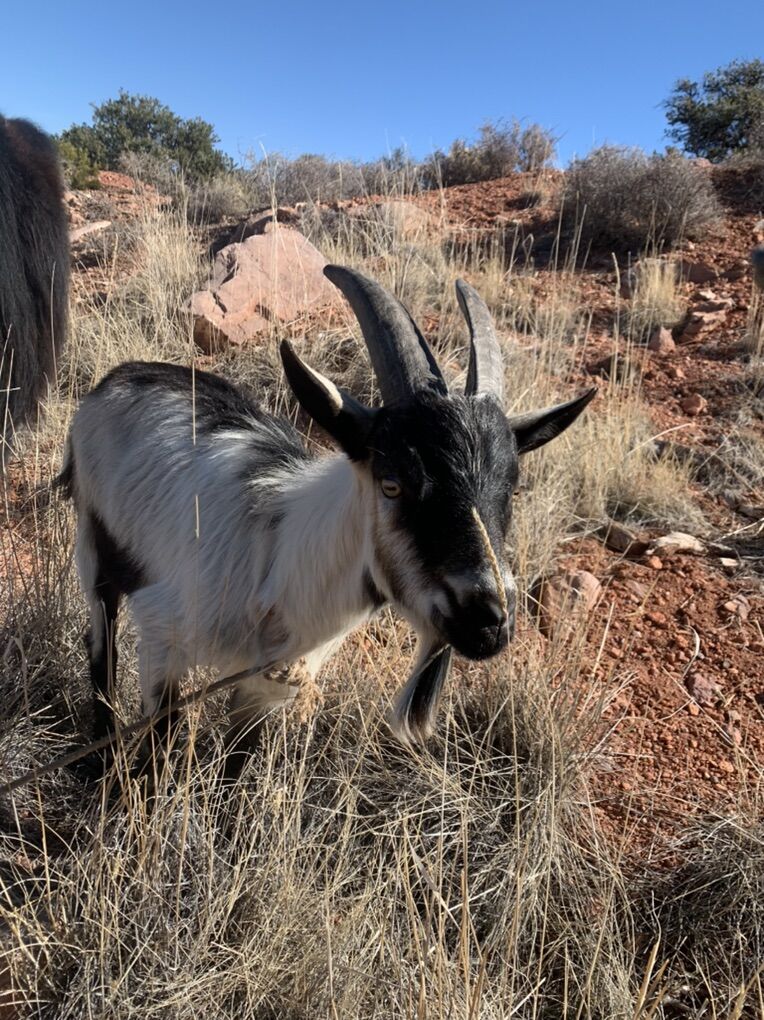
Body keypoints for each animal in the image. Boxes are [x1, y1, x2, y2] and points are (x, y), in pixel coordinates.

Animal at [58, 266, 595, 760]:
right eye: (392, 483)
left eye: (513, 488)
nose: (488, 620)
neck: (279, 554)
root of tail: (118, 377)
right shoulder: (163, 637)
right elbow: (158, 753)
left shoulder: (262, 687)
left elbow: (238, 760)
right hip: (95, 542)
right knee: (99, 642)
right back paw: (97, 755)